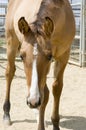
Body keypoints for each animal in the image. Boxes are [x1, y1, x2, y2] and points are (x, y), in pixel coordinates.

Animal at [3, 0, 75, 129]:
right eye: (22, 56)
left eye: (50, 56)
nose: (32, 101)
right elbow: (45, 94)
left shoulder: (64, 56)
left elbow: (56, 88)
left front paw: (54, 123)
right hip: (11, 43)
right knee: (10, 72)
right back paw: (7, 113)